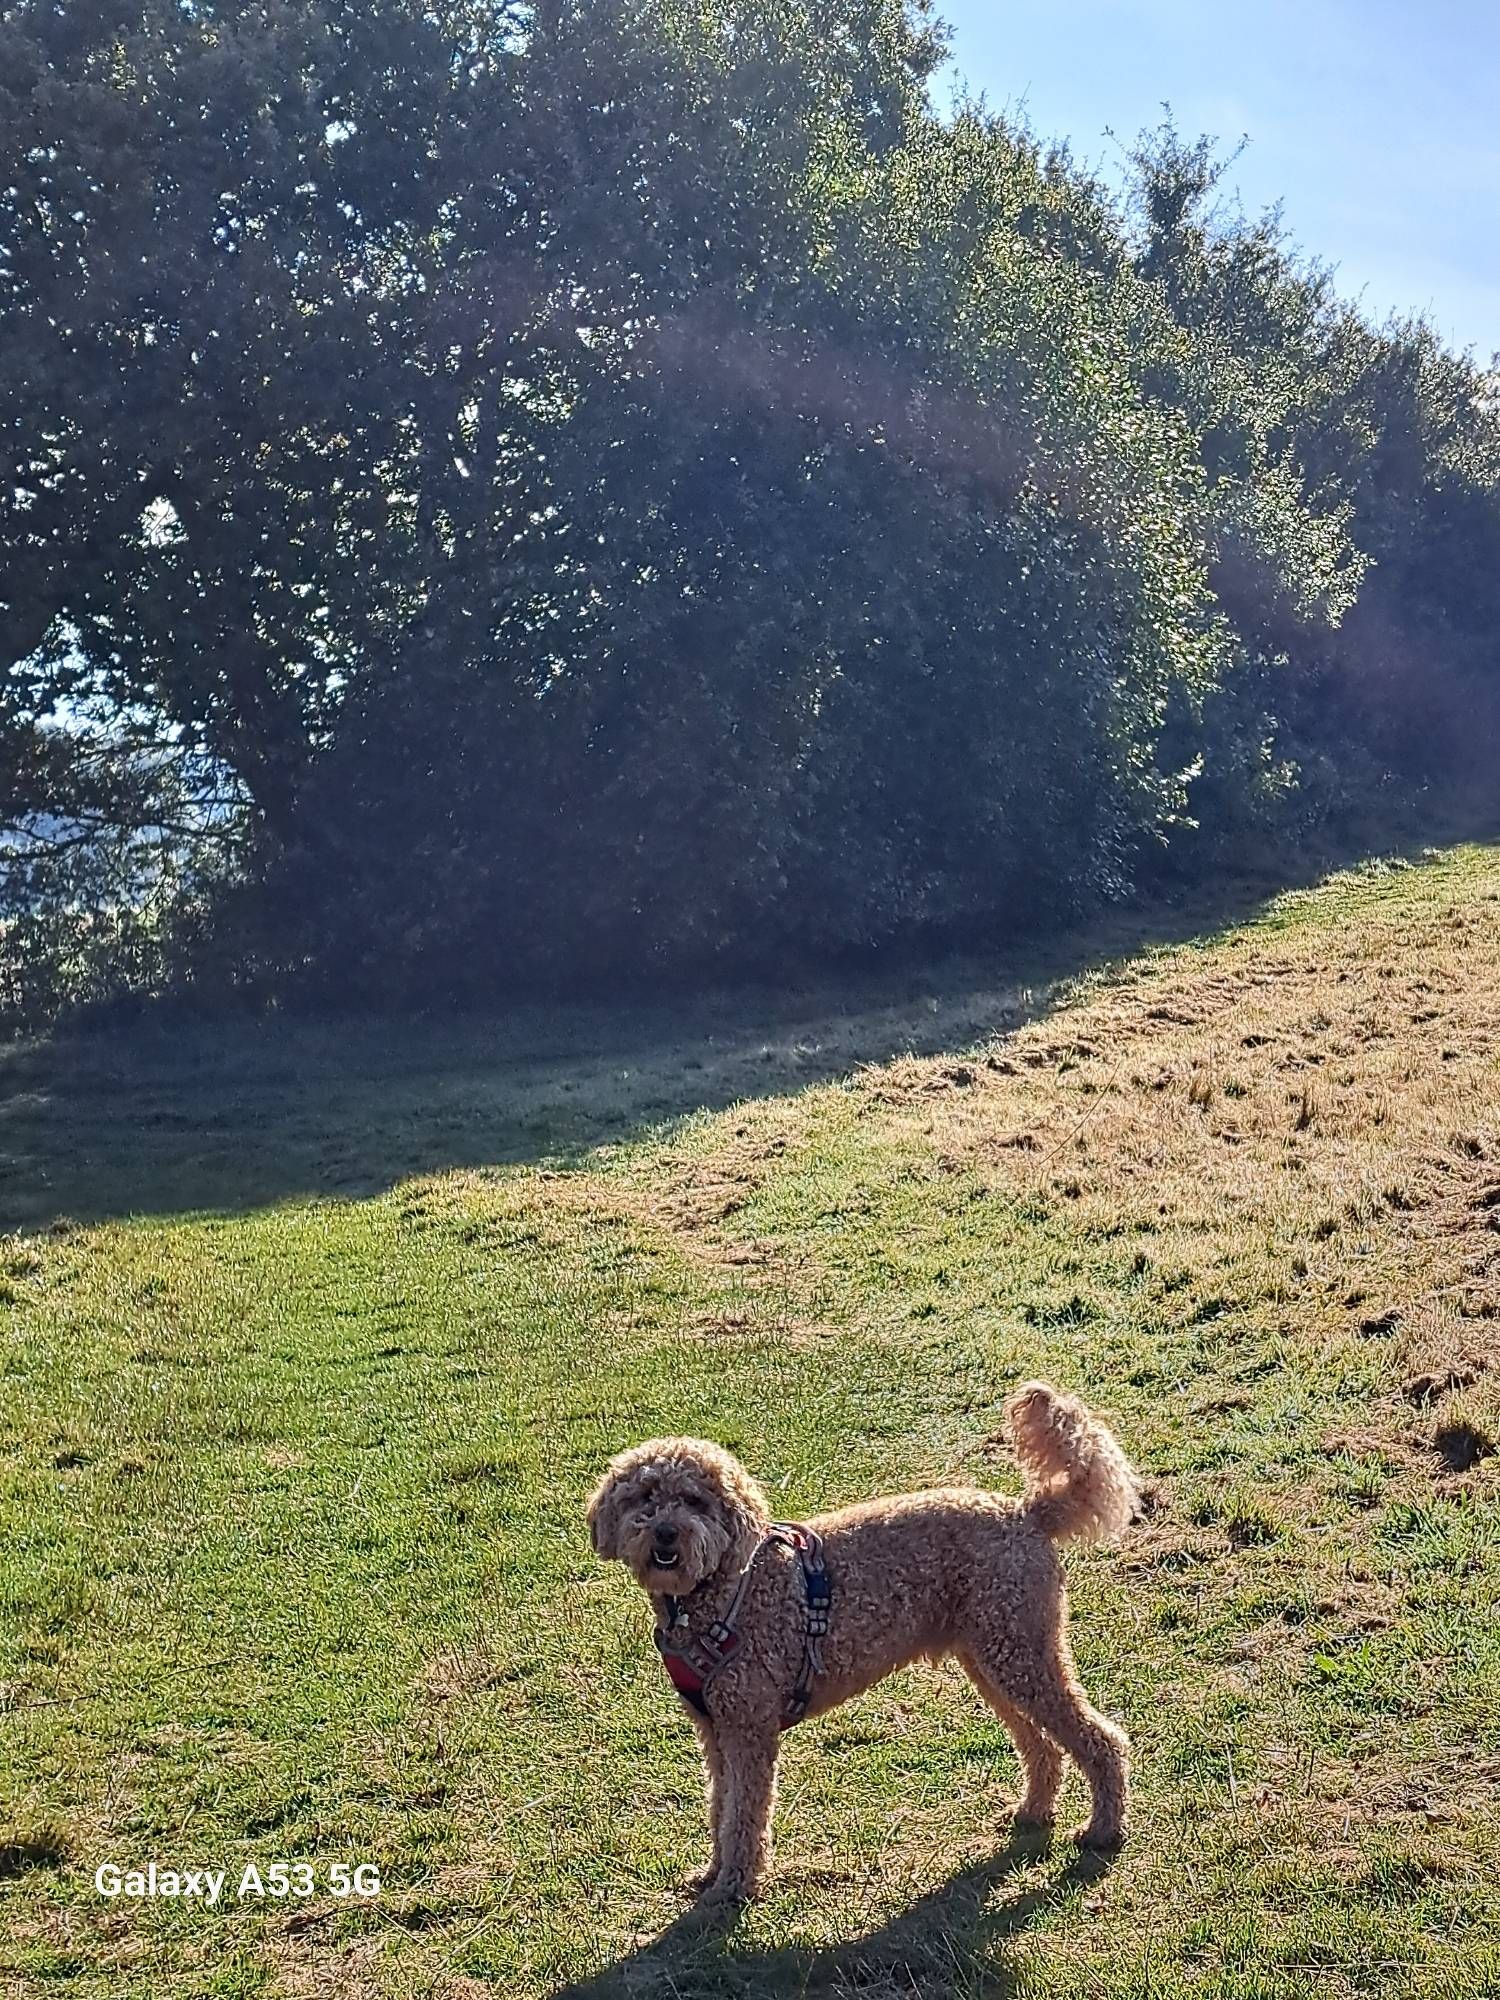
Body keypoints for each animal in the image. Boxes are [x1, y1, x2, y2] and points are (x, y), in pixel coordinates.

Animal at [588, 1376, 1136, 1904]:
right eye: (644, 1497)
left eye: (695, 1501)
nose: (665, 1533)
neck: (718, 1590)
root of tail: (1026, 1513)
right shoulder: (716, 1729)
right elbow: (721, 1808)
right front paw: (713, 1874)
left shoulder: (749, 1729)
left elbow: (744, 1815)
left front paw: (735, 1886)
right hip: (995, 1659)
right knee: (1041, 1745)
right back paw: (1034, 1811)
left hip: (1023, 1654)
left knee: (1100, 1739)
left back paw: (1103, 1829)